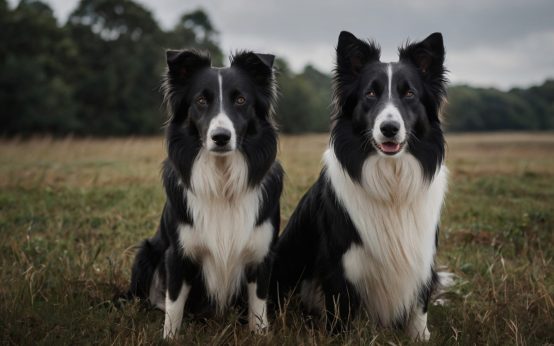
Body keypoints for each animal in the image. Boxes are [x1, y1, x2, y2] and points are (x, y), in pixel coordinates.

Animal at [127, 48, 282, 338]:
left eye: (241, 100)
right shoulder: (177, 254)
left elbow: (258, 305)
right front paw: (170, 338)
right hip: (146, 252)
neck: (222, 180)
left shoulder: (262, 254)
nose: (221, 137)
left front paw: (260, 335)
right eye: (200, 100)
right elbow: (174, 304)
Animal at [272, 30, 448, 340]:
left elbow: (418, 307)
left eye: (409, 94)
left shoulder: (421, 254)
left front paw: (420, 337)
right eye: (371, 93)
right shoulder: (340, 264)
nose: (389, 128)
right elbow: (340, 312)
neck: (392, 181)